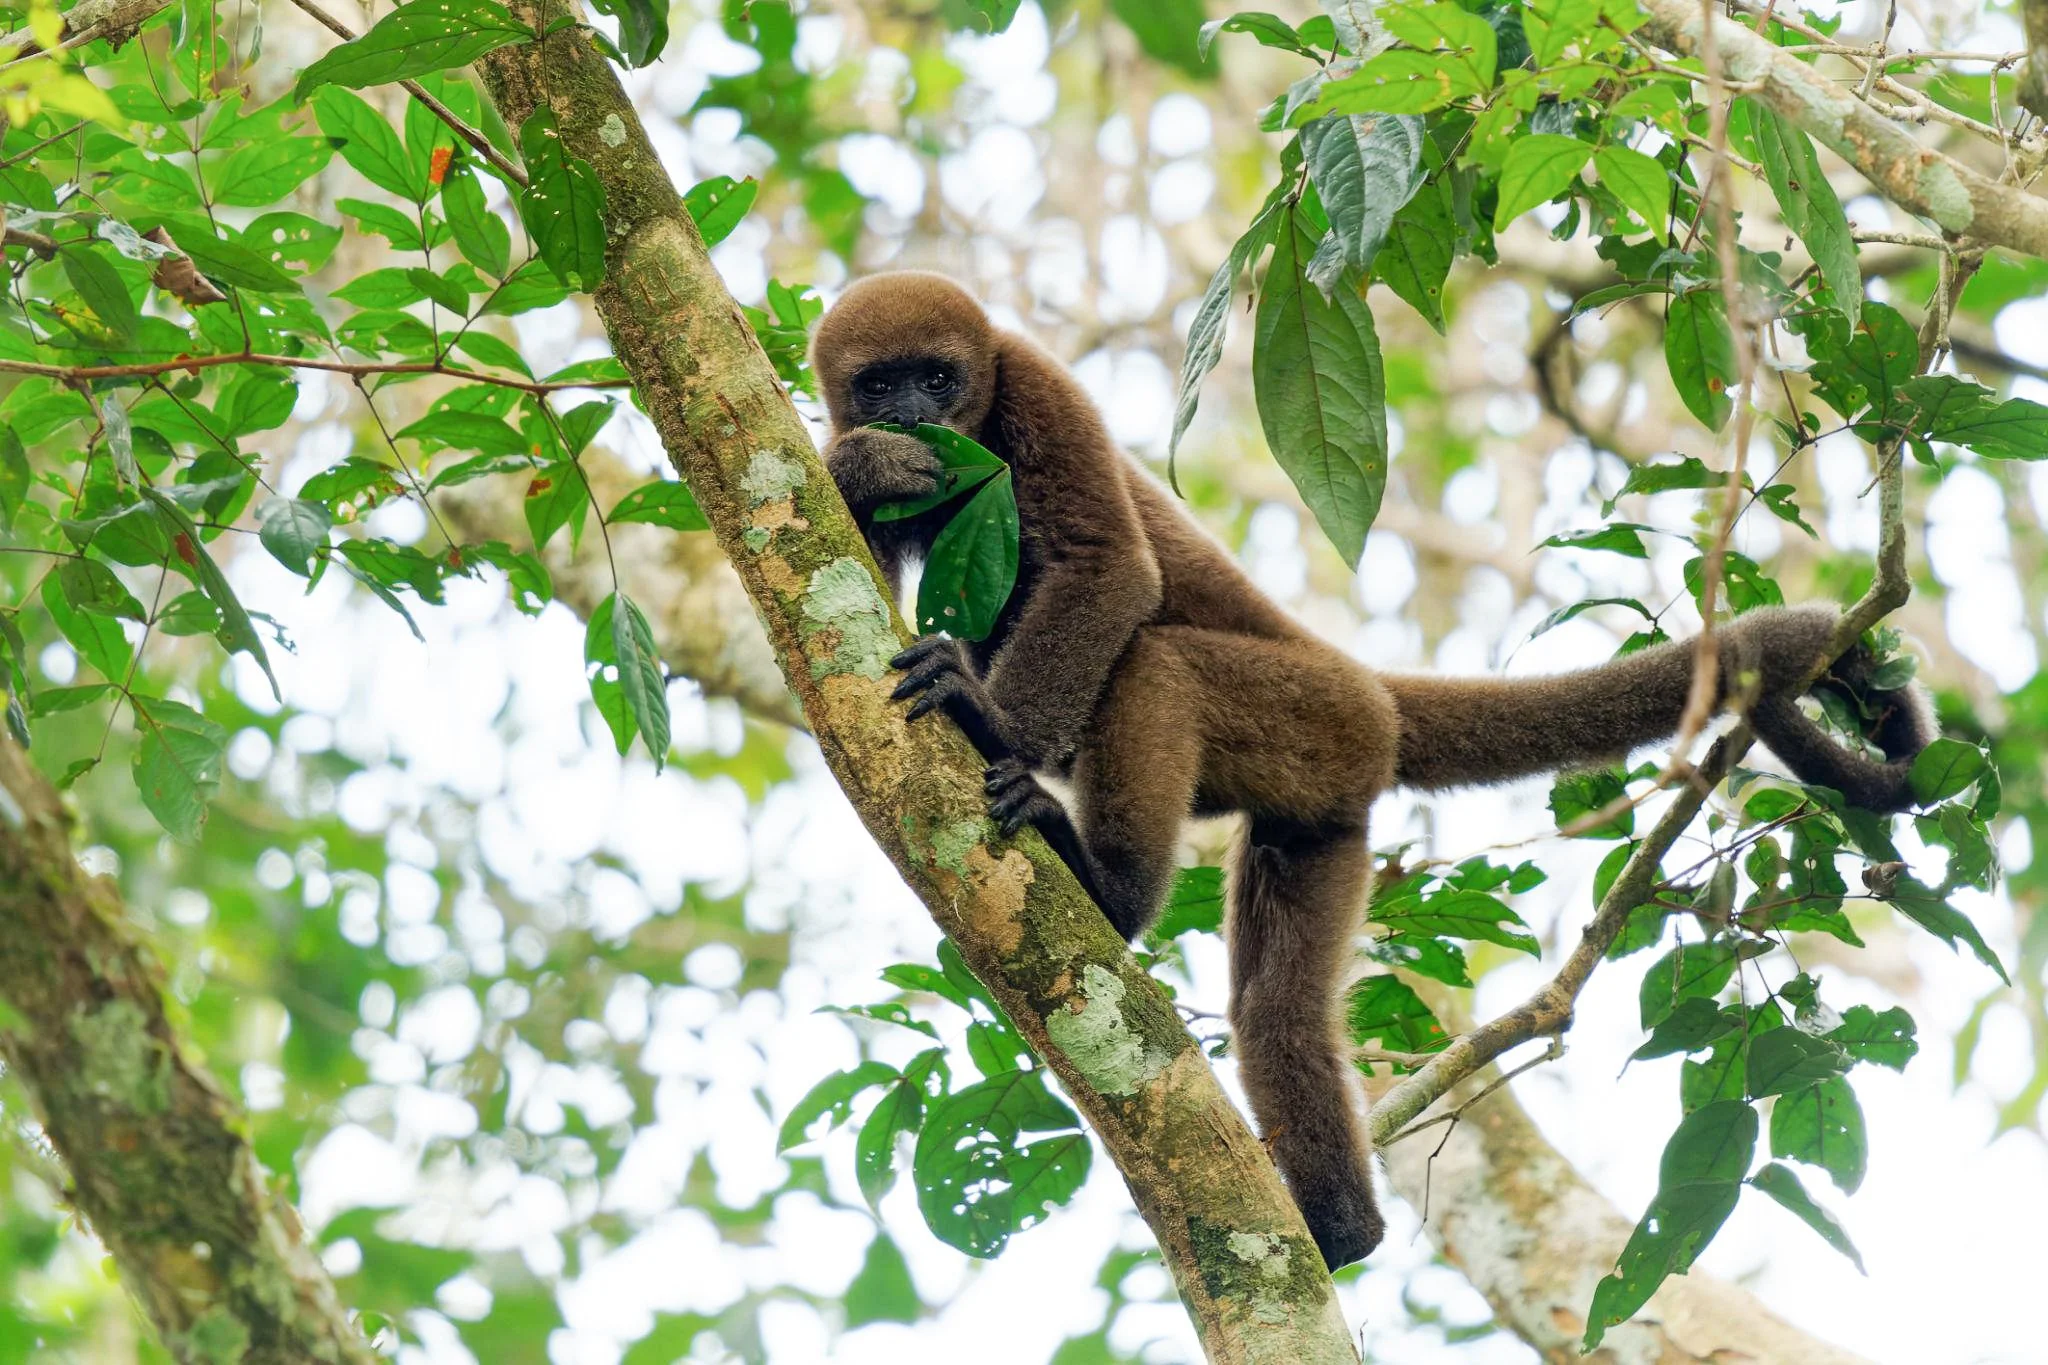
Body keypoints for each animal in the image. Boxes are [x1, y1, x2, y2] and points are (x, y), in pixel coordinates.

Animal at [809, 271, 1934, 1271]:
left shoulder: (1038, 387)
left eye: (938, 377)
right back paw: (1338, 1231)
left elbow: (1104, 566)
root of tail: (1368, 692)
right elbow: (825, 568)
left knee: (1153, 662)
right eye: (878, 383)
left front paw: (984, 713)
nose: (911, 414)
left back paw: (1107, 886)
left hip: (1315, 718)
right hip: (1320, 810)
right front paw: (867, 467)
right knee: (1277, 1015)